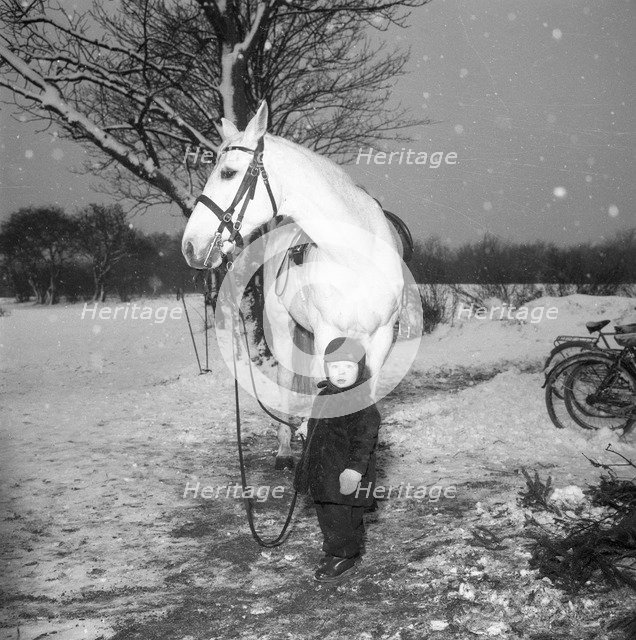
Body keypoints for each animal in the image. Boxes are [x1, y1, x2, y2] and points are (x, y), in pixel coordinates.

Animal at [182, 102, 408, 469]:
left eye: (228, 172)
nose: (190, 246)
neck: (355, 258)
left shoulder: (382, 336)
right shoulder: (327, 334)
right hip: (283, 327)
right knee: (287, 381)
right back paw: (286, 449)